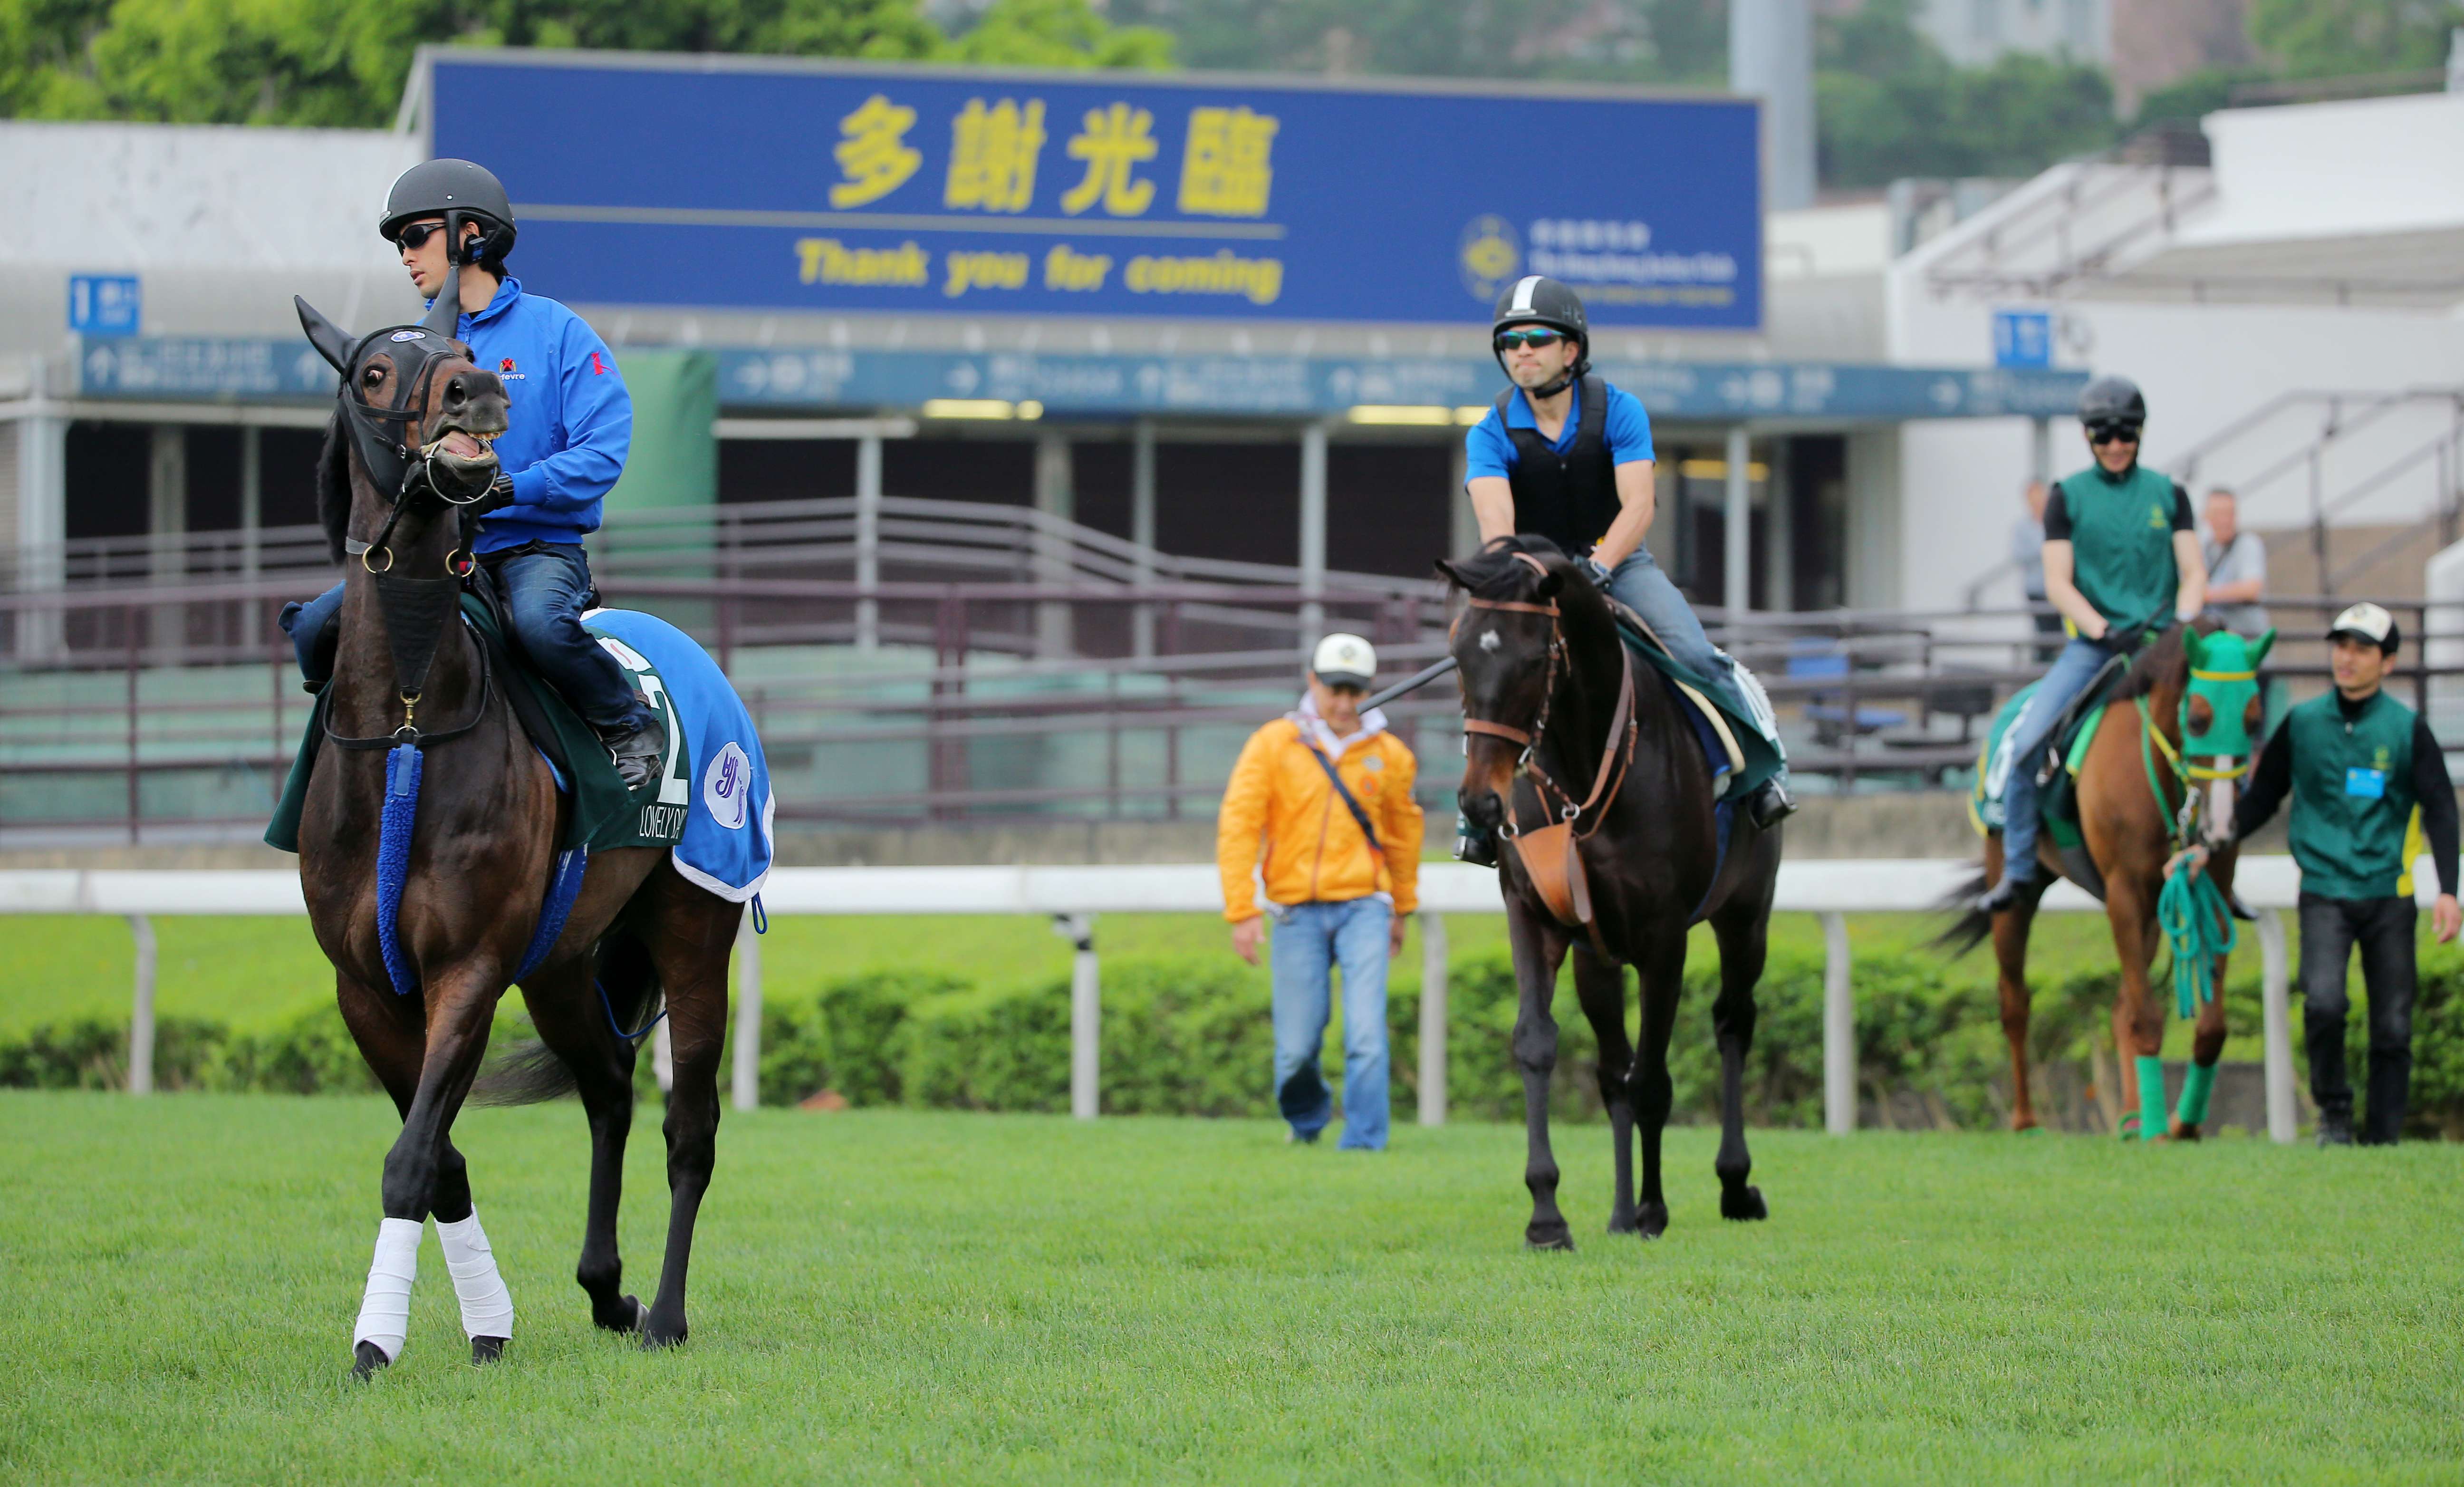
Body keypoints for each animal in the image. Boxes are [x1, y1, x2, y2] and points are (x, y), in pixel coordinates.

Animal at [284, 297, 734, 1381]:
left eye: (463, 351)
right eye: (374, 371)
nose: (477, 392)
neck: (408, 722)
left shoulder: (471, 964)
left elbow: (412, 1157)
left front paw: (375, 1339)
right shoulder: (365, 985)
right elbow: (440, 1159)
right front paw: (485, 1321)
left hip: (695, 919)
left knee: (688, 1126)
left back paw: (663, 1312)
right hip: (565, 960)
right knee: (607, 1086)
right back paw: (606, 1289)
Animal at [1941, 619, 2267, 1139]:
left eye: (2254, 720)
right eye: (2198, 718)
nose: (2220, 827)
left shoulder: (2204, 890)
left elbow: (2209, 1028)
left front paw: (2182, 1124)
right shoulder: (2123, 893)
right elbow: (2147, 1019)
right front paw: (2160, 1127)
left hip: (2153, 912)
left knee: (2120, 1007)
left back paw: (2133, 1117)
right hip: (2016, 887)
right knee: (2015, 1002)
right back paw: (2027, 1120)